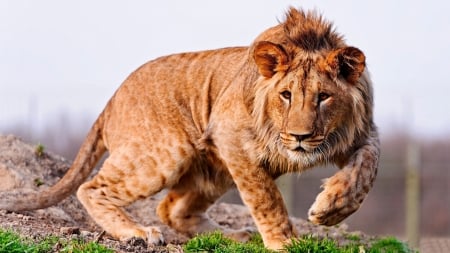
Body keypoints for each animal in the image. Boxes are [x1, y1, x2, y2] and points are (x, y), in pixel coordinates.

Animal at [0, 6, 380, 250]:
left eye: (324, 97)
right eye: (286, 95)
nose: (301, 137)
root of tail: (112, 100)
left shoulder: (361, 133)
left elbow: (366, 169)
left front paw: (331, 208)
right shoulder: (231, 136)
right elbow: (266, 198)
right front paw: (284, 242)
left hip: (214, 171)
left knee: (171, 209)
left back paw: (235, 236)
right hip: (168, 153)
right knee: (92, 188)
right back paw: (137, 233)